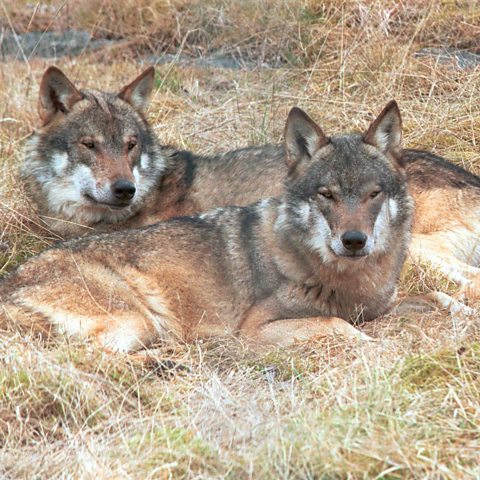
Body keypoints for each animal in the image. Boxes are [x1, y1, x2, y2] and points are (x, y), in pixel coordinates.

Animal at [0, 103, 412, 350]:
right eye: (327, 195)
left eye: (373, 194)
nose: (354, 240)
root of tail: (9, 283)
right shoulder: (255, 329)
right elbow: (338, 325)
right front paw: (377, 348)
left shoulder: (385, 305)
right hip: (135, 321)